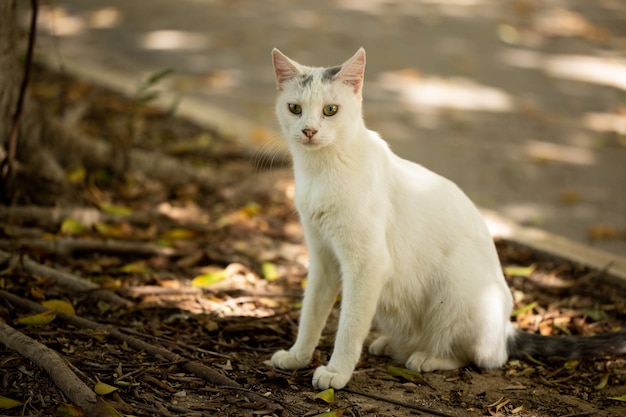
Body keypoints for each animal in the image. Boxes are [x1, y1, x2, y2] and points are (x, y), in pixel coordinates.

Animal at [268, 48, 624, 390]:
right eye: (295, 109)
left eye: (330, 110)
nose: (309, 130)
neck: (321, 170)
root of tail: (507, 329)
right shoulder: (323, 259)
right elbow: (311, 314)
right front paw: (298, 357)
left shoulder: (367, 264)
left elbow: (350, 326)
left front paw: (337, 372)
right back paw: (393, 345)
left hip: (455, 288)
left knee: (482, 358)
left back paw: (427, 358)